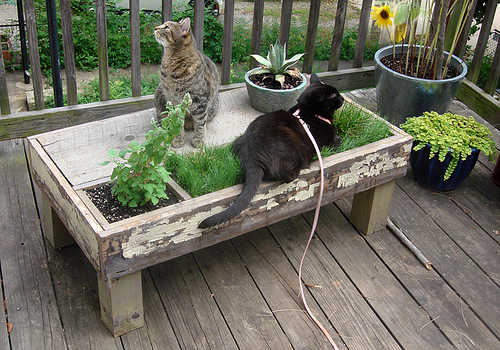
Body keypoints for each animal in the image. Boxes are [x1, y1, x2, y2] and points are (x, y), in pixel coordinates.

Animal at [153, 17, 218, 148]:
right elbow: (177, 122)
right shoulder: (174, 101)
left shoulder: (200, 102)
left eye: (166, 27)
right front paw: (178, 138)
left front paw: (199, 139)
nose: (156, 28)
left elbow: (200, 123)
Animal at [198, 74, 344, 228]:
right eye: (336, 96)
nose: (342, 98)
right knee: (287, 175)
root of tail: (251, 155)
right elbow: (338, 140)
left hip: (238, 139)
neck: (309, 112)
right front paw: (341, 137)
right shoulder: (328, 143)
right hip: (288, 139)